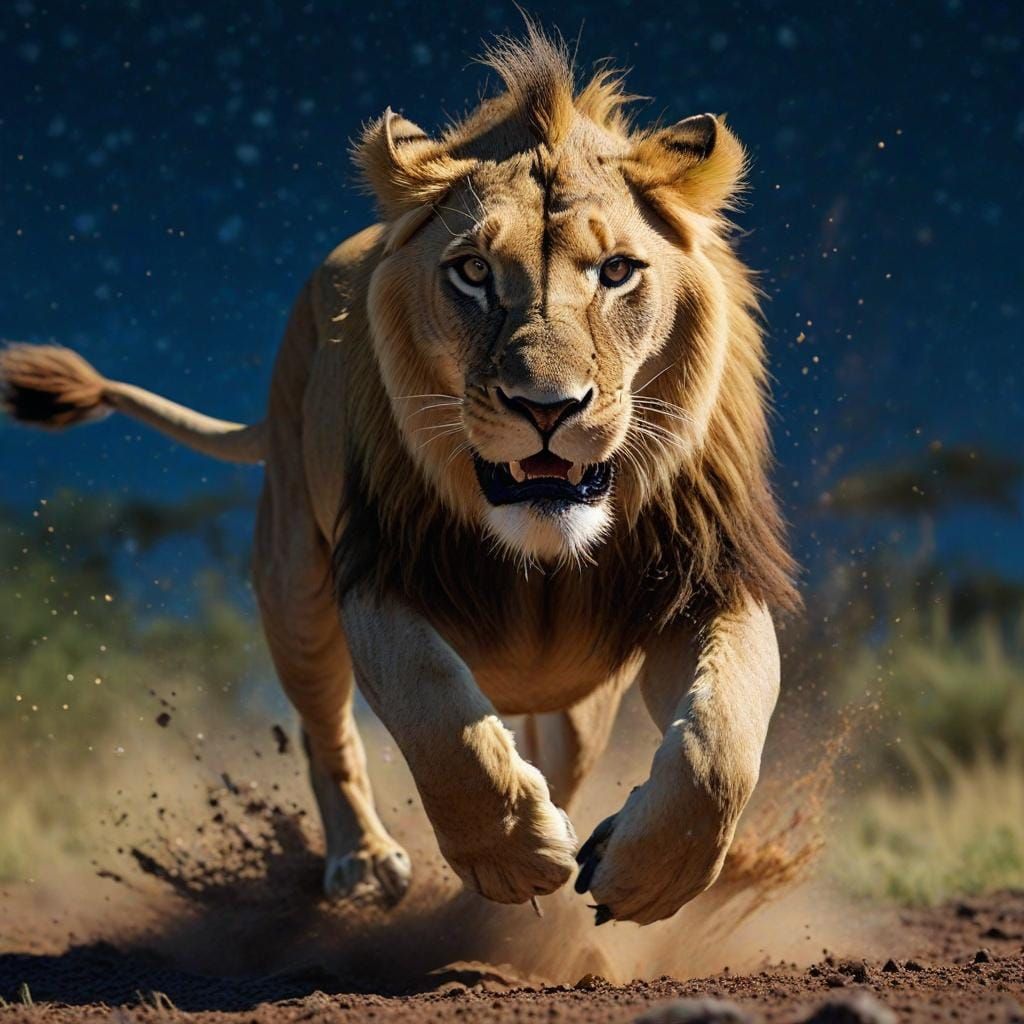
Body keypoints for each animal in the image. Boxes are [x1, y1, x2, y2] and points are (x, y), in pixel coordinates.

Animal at [0, 26, 797, 925]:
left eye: (618, 271)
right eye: (474, 272)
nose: (547, 407)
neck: (539, 554)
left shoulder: (703, 581)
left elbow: (720, 740)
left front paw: (644, 874)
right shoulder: (378, 572)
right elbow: (436, 716)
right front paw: (513, 854)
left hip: (579, 698)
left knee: (567, 752)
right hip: (295, 585)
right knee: (328, 734)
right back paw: (367, 862)